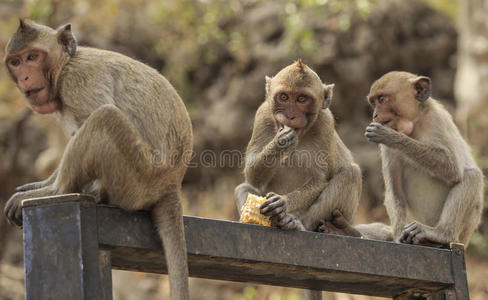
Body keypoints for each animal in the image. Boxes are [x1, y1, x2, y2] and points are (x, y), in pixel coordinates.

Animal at [3, 19, 193, 298]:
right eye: (16, 61)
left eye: (33, 57)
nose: (25, 76)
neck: (65, 65)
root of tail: (172, 184)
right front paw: (41, 182)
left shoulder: (77, 82)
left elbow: (92, 116)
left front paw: (51, 187)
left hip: (137, 175)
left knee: (104, 117)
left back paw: (58, 190)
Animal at [234, 59, 364, 300]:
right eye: (284, 97)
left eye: (302, 99)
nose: (290, 117)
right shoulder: (262, 115)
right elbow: (252, 176)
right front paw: (280, 142)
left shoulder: (325, 123)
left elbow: (319, 179)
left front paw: (281, 204)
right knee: (244, 188)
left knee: (350, 173)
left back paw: (297, 223)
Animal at [318, 71, 482, 248]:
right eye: (374, 102)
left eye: (382, 99)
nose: (375, 115)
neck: (415, 123)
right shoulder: (387, 150)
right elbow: (394, 191)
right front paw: (397, 238)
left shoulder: (436, 119)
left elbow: (452, 169)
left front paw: (392, 136)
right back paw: (346, 230)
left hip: (462, 233)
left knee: (472, 176)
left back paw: (440, 235)